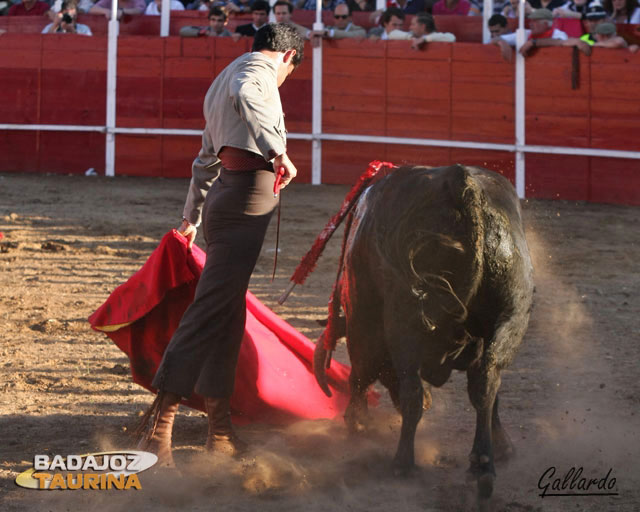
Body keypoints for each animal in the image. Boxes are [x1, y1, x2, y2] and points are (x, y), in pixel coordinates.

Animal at [312, 165, 532, 500]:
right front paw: (503, 448)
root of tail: (460, 182)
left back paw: (402, 463)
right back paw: (483, 465)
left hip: (405, 322)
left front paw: (357, 424)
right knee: (488, 382)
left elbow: (361, 374)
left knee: (411, 392)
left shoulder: (363, 319)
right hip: (512, 314)